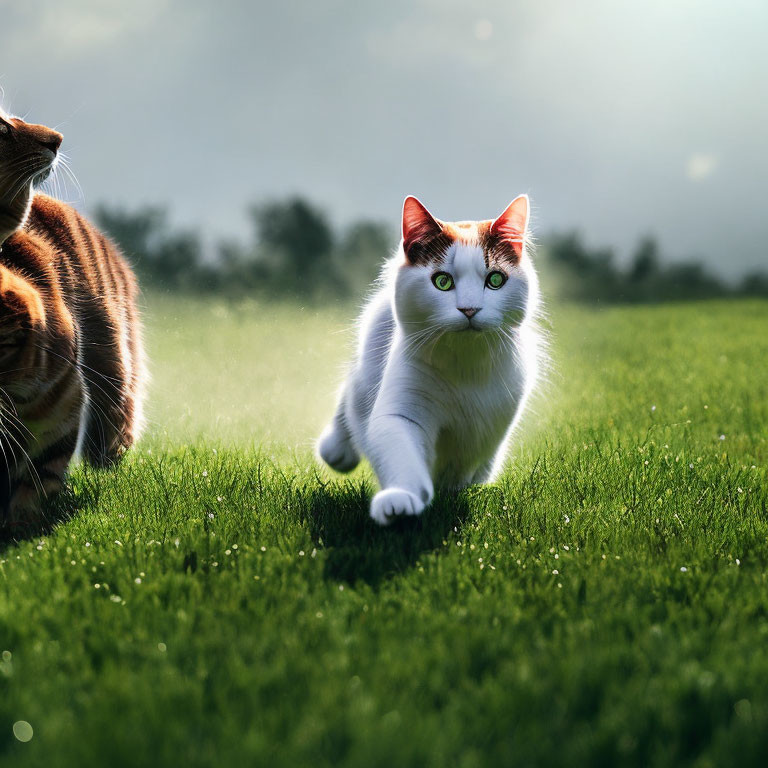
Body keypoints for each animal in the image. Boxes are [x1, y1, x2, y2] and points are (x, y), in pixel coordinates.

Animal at [318, 195, 540, 524]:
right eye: (442, 282)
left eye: (495, 280)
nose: (469, 309)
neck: (464, 364)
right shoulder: (402, 412)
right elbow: (404, 461)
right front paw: (400, 502)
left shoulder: (487, 424)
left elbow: (459, 466)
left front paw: (448, 493)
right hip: (368, 368)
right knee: (351, 393)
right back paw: (336, 449)